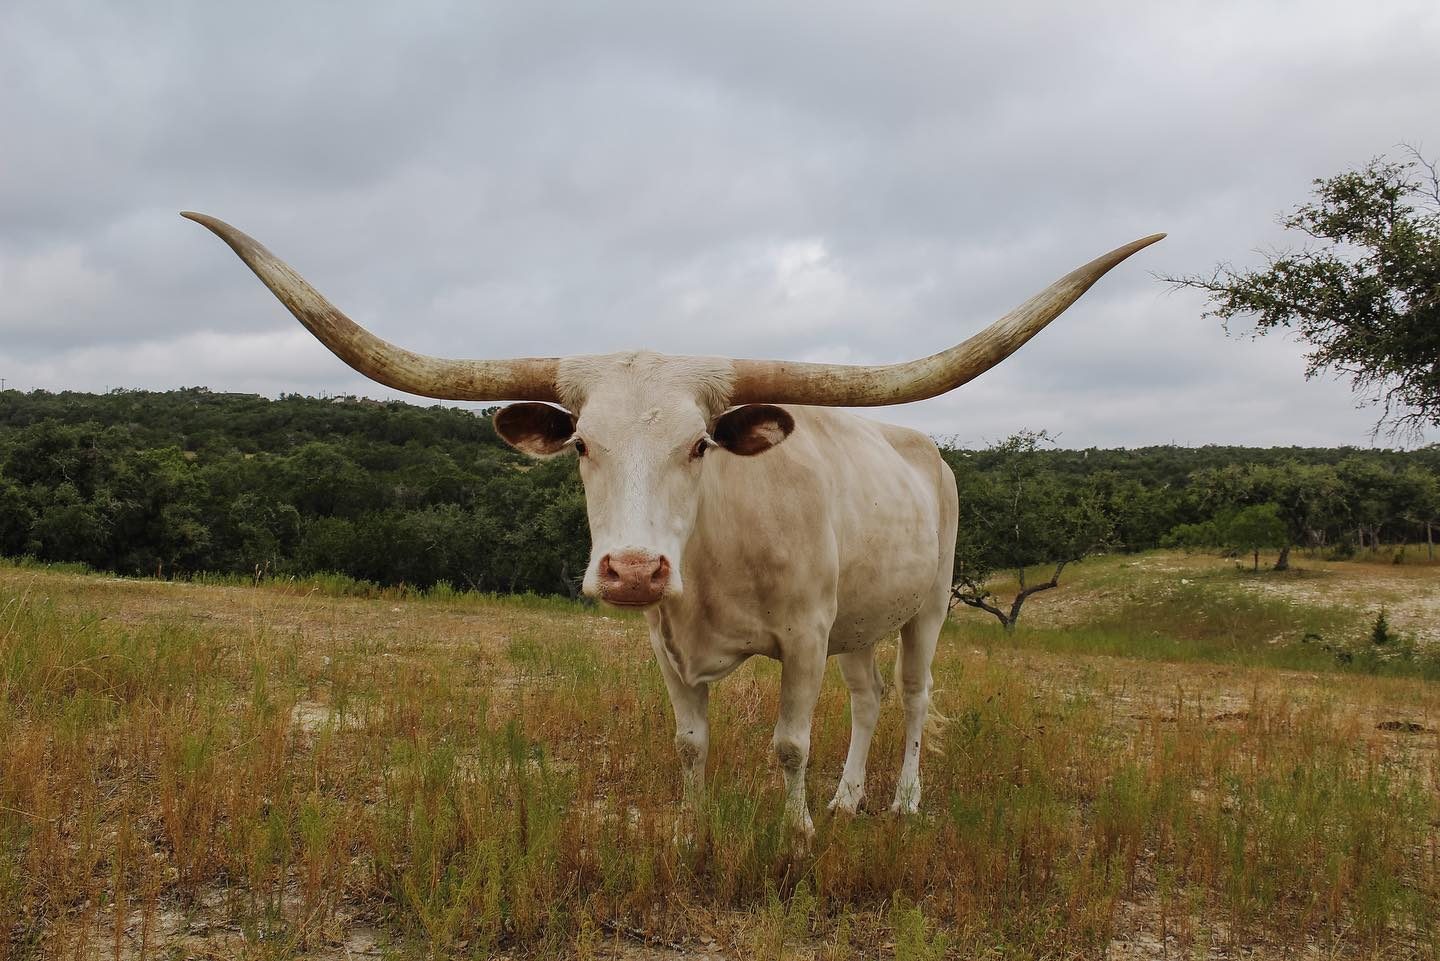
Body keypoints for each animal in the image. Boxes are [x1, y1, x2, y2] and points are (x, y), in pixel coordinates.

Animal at [185, 211, 1163, 835]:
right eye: (583, 444)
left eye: (699, 445)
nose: (631, 569)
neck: (713, 559)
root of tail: (927, 446)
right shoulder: (671, 643)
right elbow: (692, 744)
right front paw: (695, 834)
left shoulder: (802, 637)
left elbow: (788, 743)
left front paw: (794, 837)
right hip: (857, 621)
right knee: (872, 697)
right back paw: (850, 800)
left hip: (927, 607)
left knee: (917, 697)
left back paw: (901, 803)